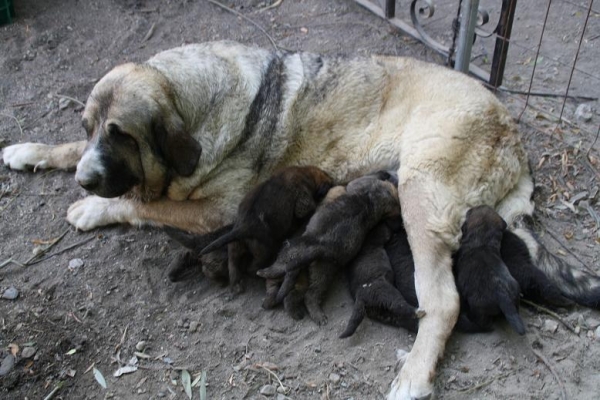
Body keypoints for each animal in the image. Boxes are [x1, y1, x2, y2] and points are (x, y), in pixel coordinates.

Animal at [256, 172, 398, 324]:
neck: (372, 199)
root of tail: (318, 247)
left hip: (304, 264)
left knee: (285, 284)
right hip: (313, 268)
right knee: (297, 290)